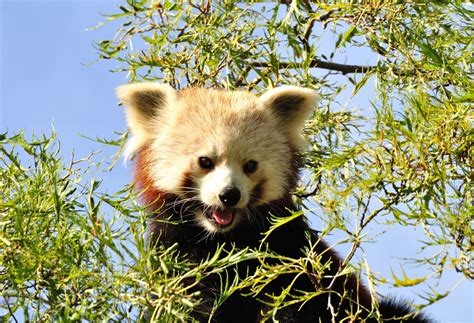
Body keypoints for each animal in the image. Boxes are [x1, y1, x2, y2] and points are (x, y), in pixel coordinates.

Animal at [116, 84, 432, 323]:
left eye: (250, 165)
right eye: (205, 161)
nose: (229, 195)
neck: (224, 241)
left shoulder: (288, 252)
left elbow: (296, 303)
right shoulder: (175, 254)